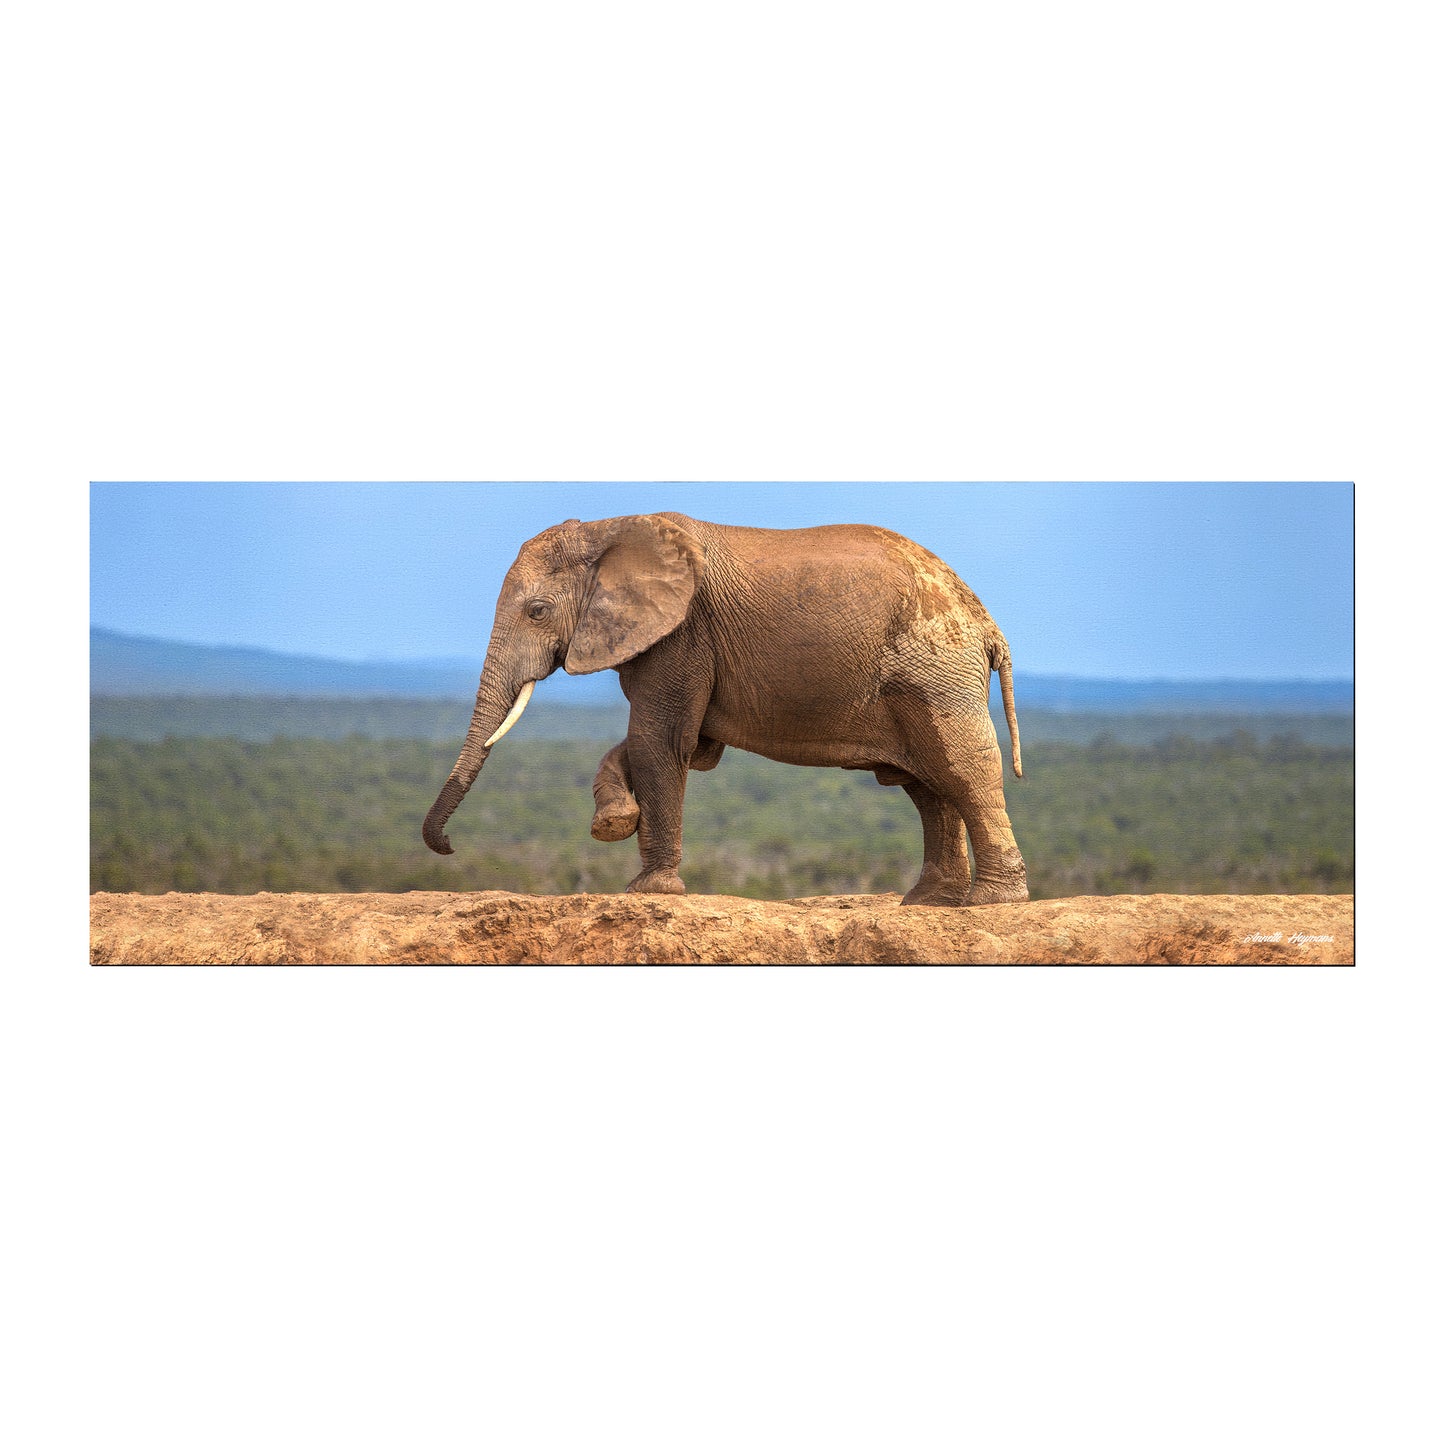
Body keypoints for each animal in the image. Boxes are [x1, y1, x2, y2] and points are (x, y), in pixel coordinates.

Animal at [423, 512, 1028, 906]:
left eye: (537, 610)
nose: (447, 846)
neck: (610, 528)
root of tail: (986, 621)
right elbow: (686, 747)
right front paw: (613, 823)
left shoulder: (681, 635)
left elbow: (659, 743)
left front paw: (648, 891)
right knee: (926, 784)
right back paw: (927, 903)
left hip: (935, 668)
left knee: (962, 770)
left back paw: (990, 903)